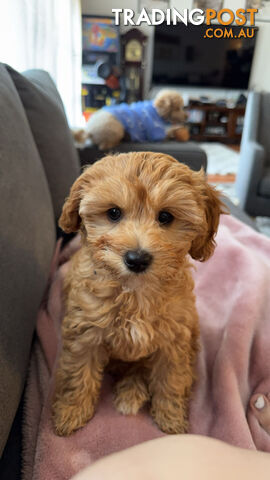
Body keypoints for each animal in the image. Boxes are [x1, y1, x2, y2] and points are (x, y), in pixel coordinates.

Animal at [52, 153, 224, 436]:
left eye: (165, 217)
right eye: (113, 213)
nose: (137, 259)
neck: (134, 291)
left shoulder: (174, 339)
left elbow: (171, 379)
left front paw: (171, 419)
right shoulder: (85, 333)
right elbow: (78, 374)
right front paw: (71, 412)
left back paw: (132, 392)